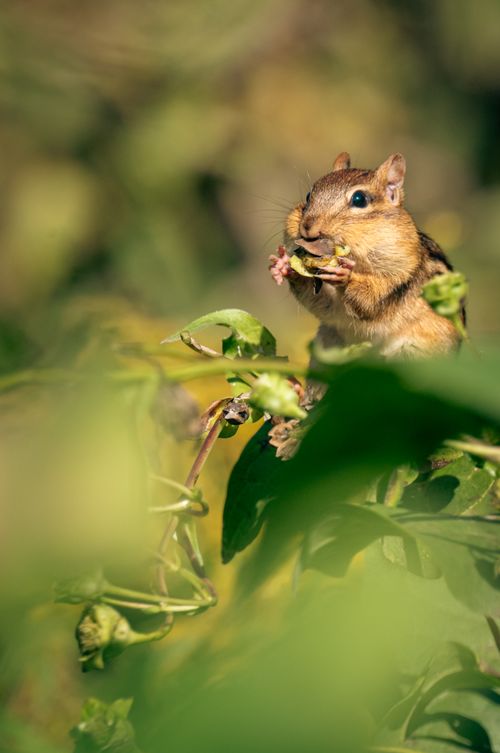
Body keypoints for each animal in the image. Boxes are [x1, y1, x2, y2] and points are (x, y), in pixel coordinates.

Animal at [269, 152, 463, 360]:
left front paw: (345, 276)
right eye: (308, 196)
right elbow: (317, 302)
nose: (307, 226)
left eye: (359, 199)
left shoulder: (398, 277)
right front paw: (282, 266)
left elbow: (370, 300)